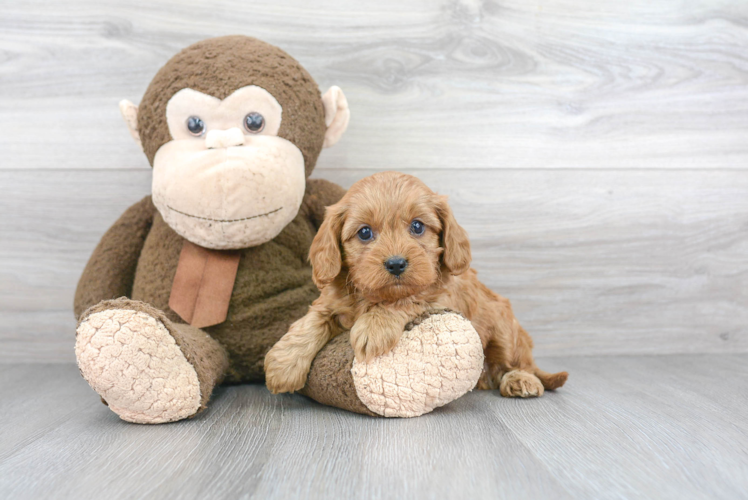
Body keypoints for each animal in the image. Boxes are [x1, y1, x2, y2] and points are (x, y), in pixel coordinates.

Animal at [262, 172, 568, 398]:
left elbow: (407, 298)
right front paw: (283, 364)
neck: (371, 297)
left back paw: (521, 380)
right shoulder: (330, 301)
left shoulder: (440, 297)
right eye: (364, 233)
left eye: (417, 227)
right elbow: (310, 322)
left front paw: (373, 328)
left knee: (516, 363)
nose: (396, 264)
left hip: (504, 327)